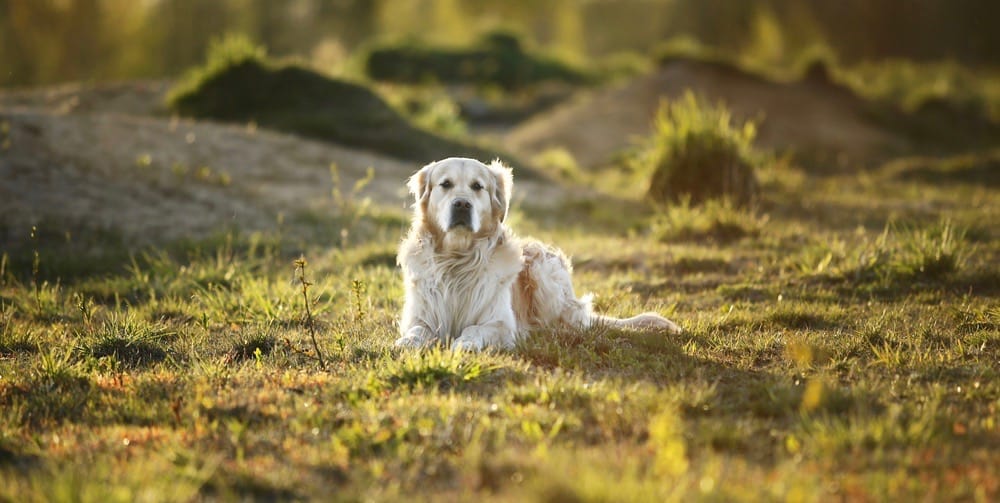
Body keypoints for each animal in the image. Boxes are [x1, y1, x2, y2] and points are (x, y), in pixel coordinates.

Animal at [394, 158, 684, 350]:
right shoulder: (420, 316)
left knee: (572, 322)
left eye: (477, 186)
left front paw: (464, 344)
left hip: (542, 268)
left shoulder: (501, 324)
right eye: (445, 184)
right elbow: (418, 330)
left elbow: (474, 328)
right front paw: (406, 342)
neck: (457, 261)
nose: (462, 204)